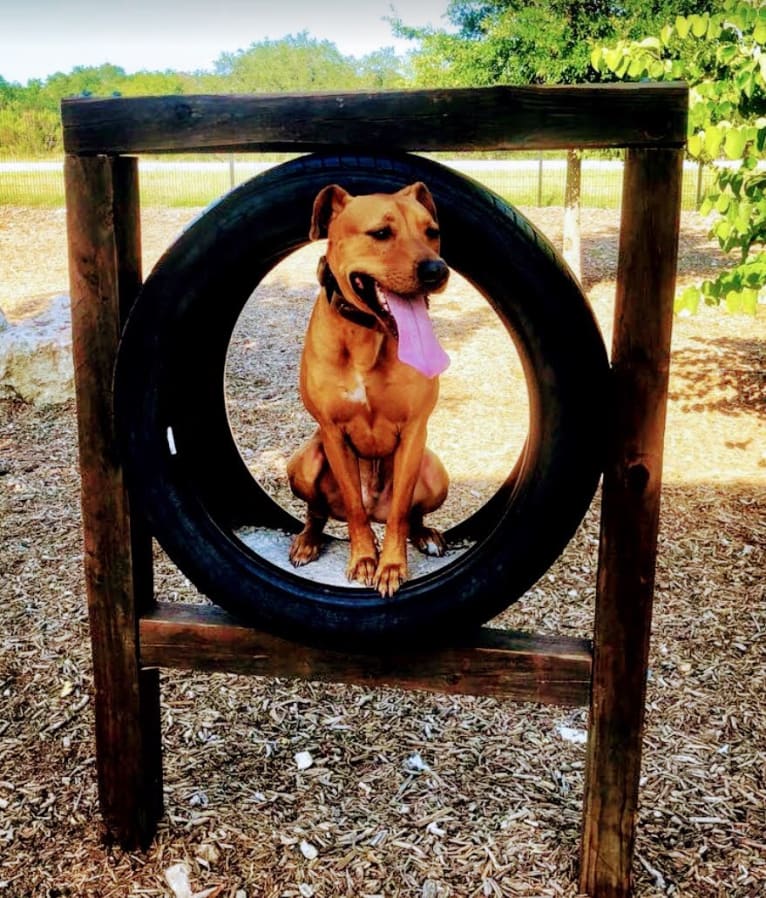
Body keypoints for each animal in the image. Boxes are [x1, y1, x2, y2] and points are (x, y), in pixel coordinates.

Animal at [288, 180, 450, 596]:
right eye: (380, 233)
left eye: (432, 232)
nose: (437, 270)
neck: (367, 334)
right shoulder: (333, 433)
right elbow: (355, 511)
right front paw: (364, 558)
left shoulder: (414, 432)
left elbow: (400, 514)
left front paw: (391, 565)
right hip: (304, 463)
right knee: (320, 512)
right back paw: (307, 540)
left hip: (435, 472)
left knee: (409, 514)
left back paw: (425, 535)